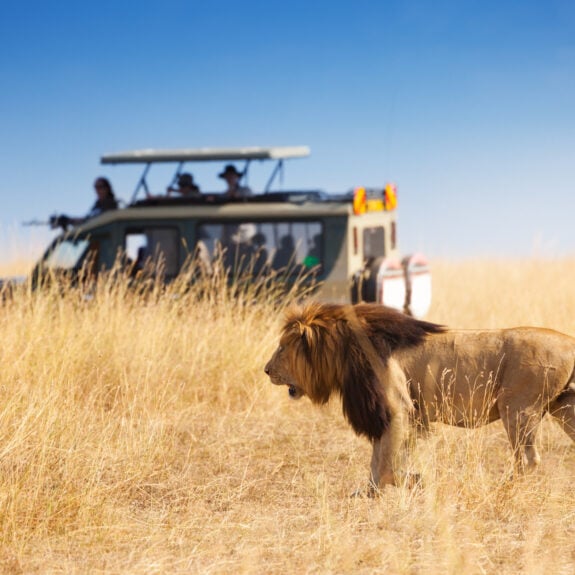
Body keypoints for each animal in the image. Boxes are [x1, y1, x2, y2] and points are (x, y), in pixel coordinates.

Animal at [264, 302, 575, 490]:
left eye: (282, 347)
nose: (266, 370)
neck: (345, 350)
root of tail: (569, 342)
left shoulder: (397, 409)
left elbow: (386, 461)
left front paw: (412, 482)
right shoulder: (395, 414)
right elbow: (379, 457)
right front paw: (370, 491)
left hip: (518, 409)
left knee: (528, 459)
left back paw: (504, 487)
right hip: (563, 409)